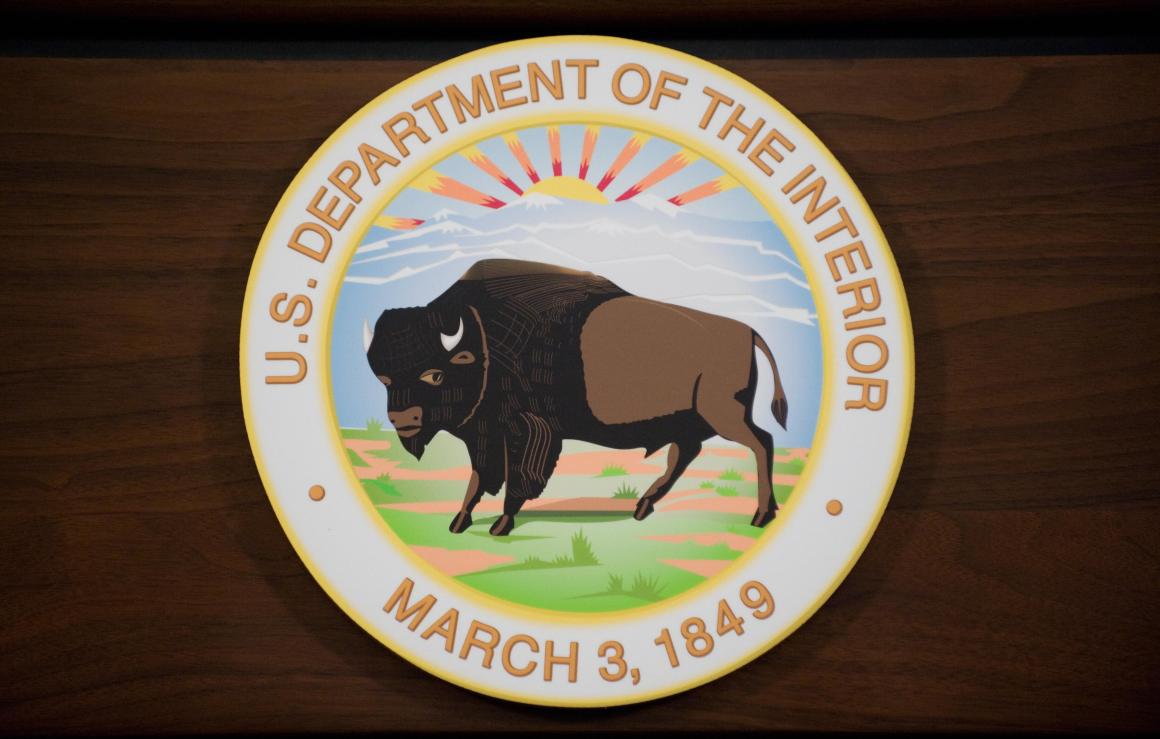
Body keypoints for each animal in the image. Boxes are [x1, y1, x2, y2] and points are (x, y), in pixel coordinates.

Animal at [366, 259, 793, 535]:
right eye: (384, 378)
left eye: (434, 374)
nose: (402, 419)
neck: (482, 341)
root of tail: (748, 332)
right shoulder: (484, 435)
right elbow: (479, 477)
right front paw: (459, 522)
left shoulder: (525, 431)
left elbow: (517, 477)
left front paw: (501, 525)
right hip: (693, 421)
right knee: (685, 455)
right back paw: (643, 507)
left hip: (724, 415)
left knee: (762, 443)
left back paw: (760, 515)